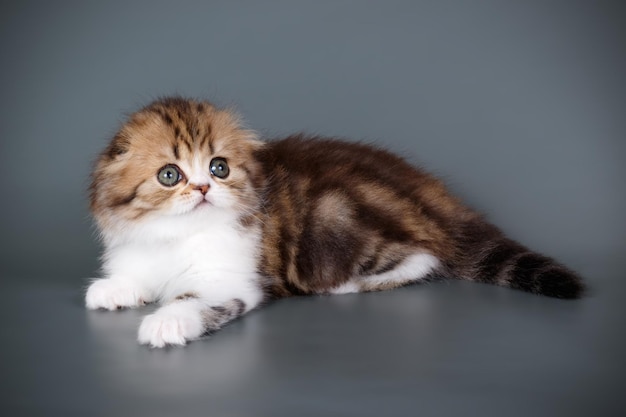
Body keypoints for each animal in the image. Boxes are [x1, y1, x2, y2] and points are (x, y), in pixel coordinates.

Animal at [85, 96, 584, 346]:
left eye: (219, 167)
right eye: (170, 175)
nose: (205, 189)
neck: (178, 235)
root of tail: (431, 195)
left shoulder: (234, 279)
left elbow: (193, 298)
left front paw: (165, 323)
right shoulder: (138, 248)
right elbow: (135, 275)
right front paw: (112, 290)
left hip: (332, 224)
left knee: (423, 257)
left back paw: (345, 287)